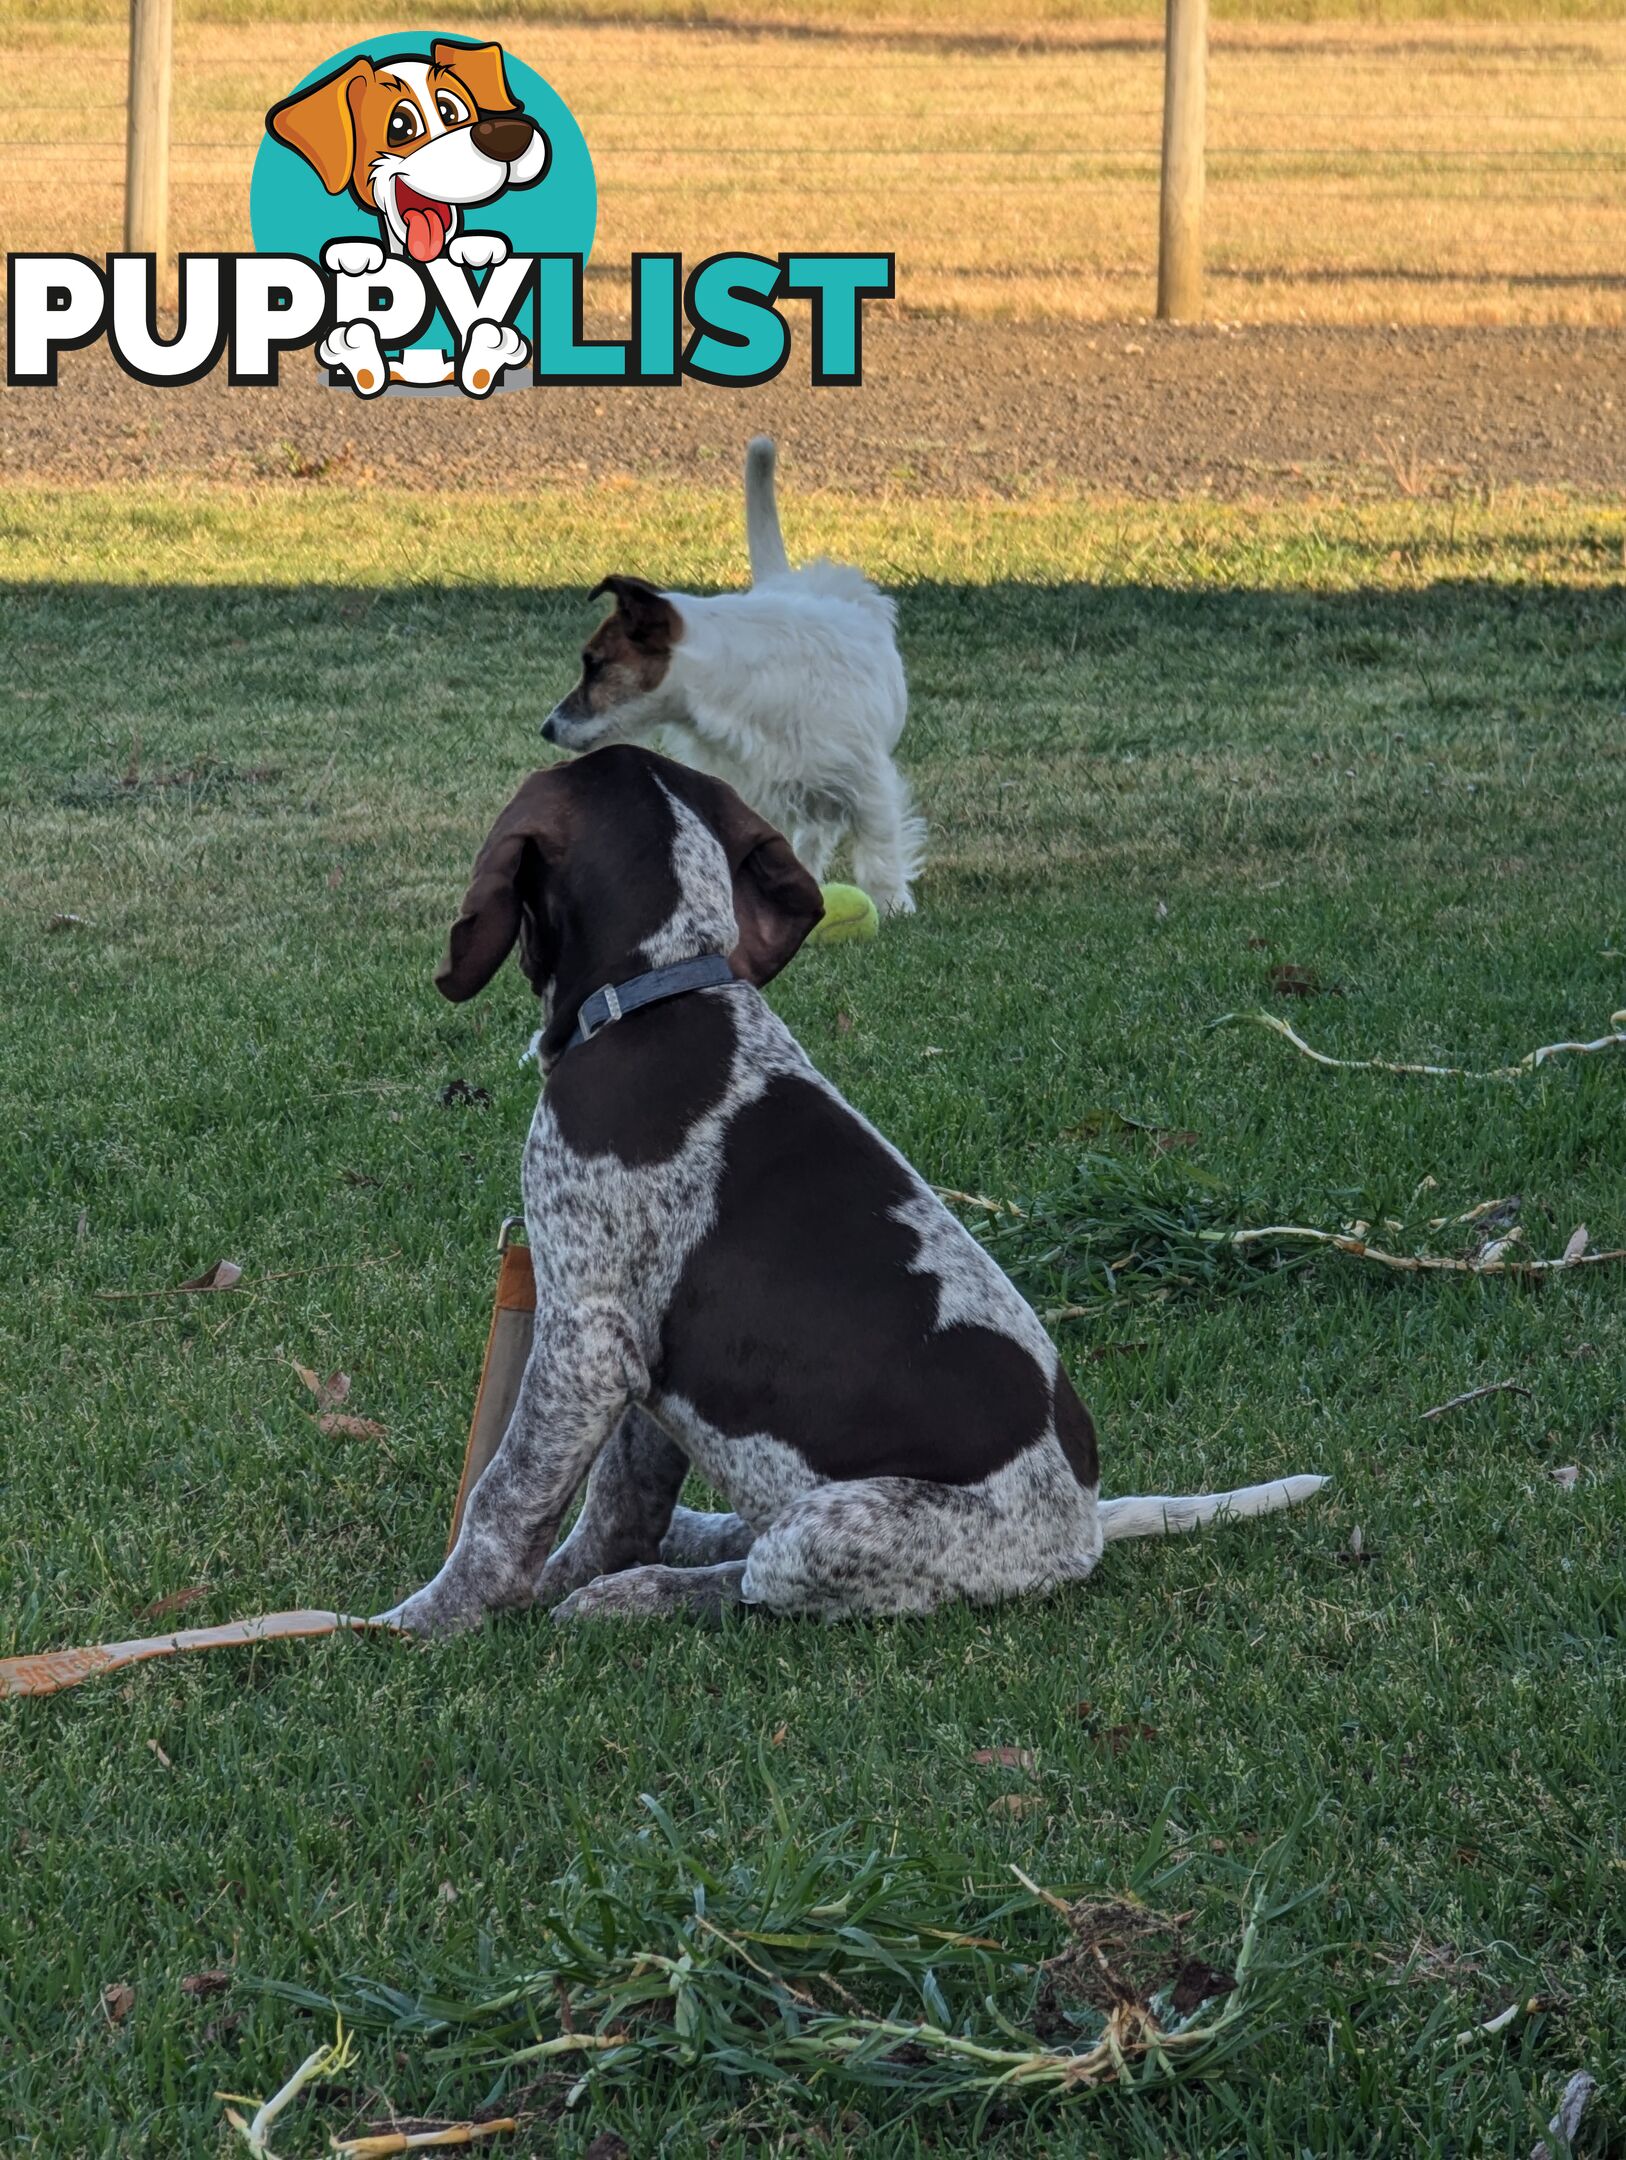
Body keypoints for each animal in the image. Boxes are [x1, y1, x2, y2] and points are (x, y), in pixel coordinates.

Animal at [377, 747, 1321, 1632]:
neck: (662, 987)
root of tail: (1082, 1528)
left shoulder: (588, 1339)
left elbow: (505, 1499)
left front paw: (427, 1620)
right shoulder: (641, 1356)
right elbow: (618, 1504)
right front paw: (565, 1574)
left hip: (832, 1528)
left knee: (757, 1585)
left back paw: (642, 1593)